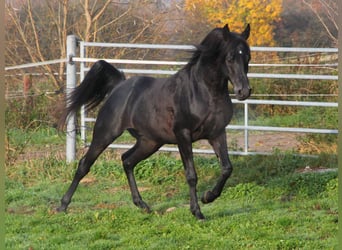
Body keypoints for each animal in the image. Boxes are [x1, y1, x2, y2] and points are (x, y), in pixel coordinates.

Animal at [57, 23, 251, 219]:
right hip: (105, 134)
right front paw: (197, 212)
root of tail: (119, 85)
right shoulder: (183, 135)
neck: (204, 92)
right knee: (85, 164)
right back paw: (62, 206)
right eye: (230, 57)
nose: (244, 91)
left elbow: (227, 168)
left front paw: (208, 197)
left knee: (127, 160)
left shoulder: (217, 133)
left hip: (150, 142)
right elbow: (191, 175)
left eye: (247, 57)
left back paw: (142, 205)